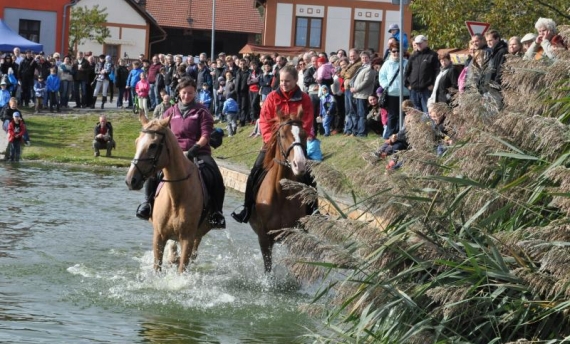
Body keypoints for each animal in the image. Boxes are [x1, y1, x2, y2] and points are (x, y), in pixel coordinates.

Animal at [125, 112, 212, 272]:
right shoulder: (159, 236)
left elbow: (182, 268)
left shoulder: (188, 239)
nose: (130, 180)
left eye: (153, 145)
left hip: (198, 235)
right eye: (136, 142)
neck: (176, 196)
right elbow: (157, 266)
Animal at [250, 110, 308, 272]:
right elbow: (268, 268)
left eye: (304, 134)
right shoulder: (264, 238)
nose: (300, 164)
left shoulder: (294, 235)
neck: (280, 194)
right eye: (282, 135)